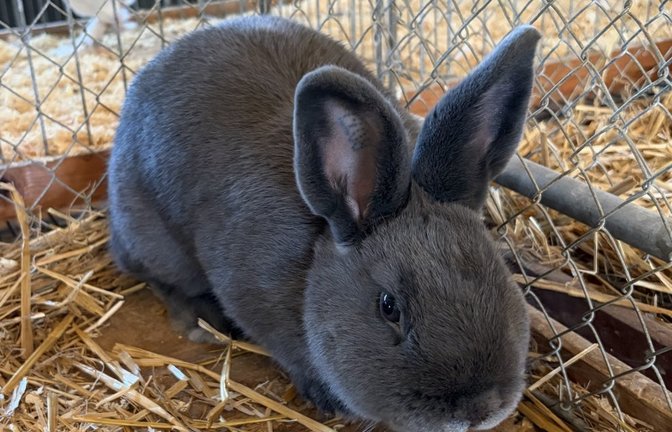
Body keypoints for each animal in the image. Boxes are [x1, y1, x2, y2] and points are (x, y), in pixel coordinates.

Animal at [107, 14, 540, 432]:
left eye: (499, 274)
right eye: (388, 307)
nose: (480, 409)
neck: (319, 252)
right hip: (153, 239)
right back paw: (197, 321)